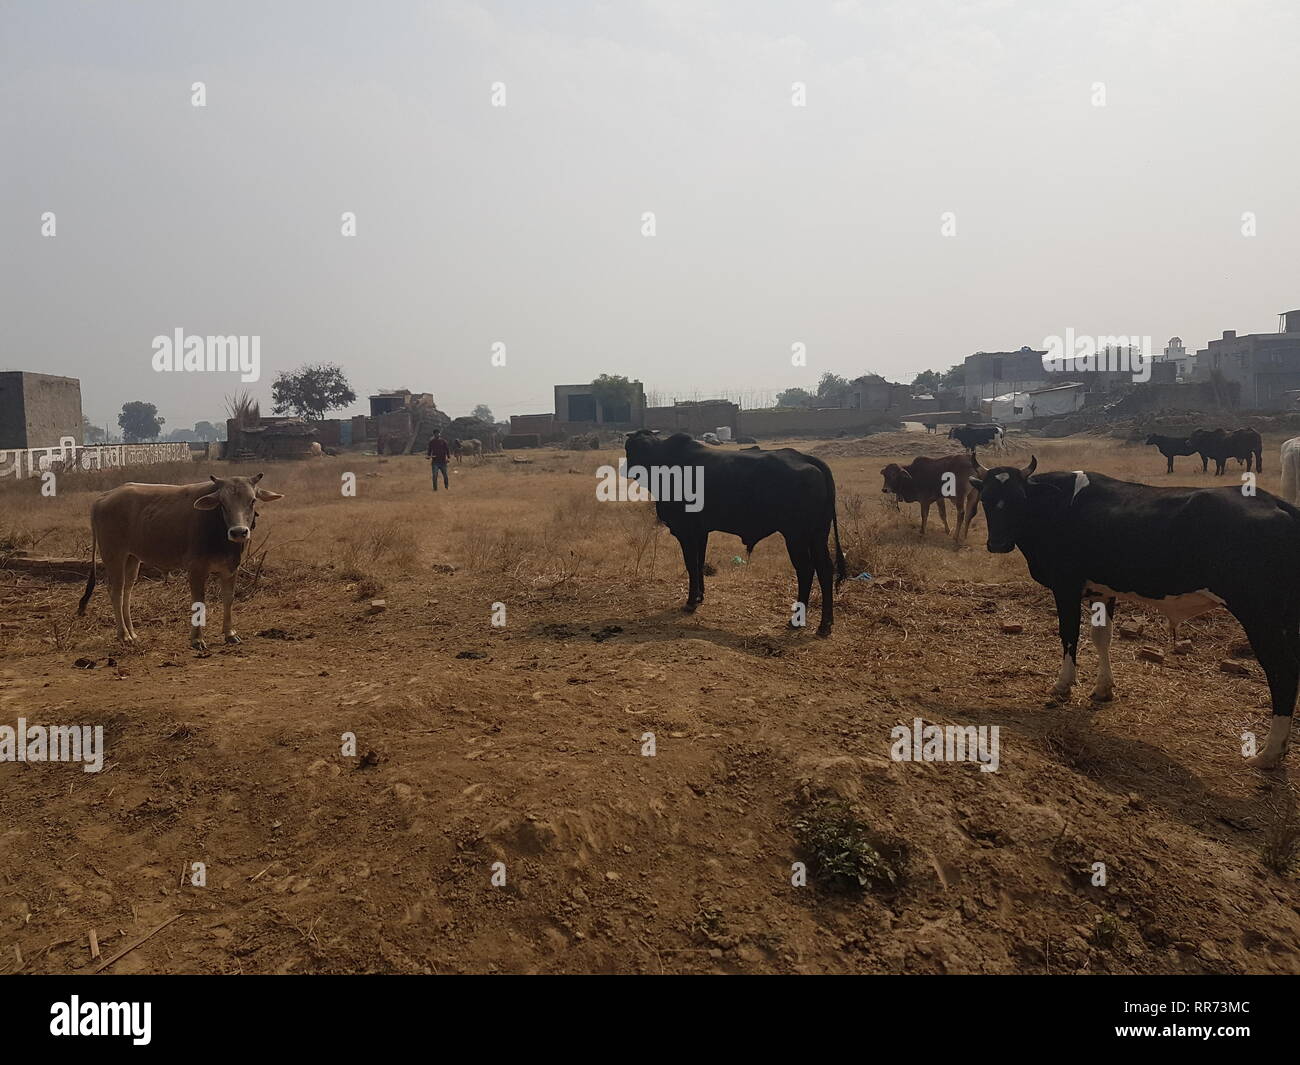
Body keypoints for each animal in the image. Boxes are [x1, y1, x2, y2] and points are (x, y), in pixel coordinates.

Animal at [77, 475, 283, 650]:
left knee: (127, 592)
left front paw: (230, 634)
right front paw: (197, 639)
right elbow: (199, 601)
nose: (239, 532)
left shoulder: (230, 568)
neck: (219, 531)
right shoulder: (196, 568)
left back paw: (132, 633)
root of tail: (103, 498)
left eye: (252, 500)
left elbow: (228, 599)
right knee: (116, 592)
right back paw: (123, 635)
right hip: (114, 556)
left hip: (132, 558)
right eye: (222, 503)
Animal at [624, 431, 847, 637]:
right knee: (824, 569)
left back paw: (799, 620)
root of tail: (803, 457)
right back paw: (825, 624)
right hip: (817, 535)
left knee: (806, 570)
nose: (625, 467)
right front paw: (699, 596)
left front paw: (690, 602)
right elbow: (699, 563)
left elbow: (691, 565)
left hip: (796, 536)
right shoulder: (701, 532)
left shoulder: (686, 532)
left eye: (630, 449)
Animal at [972, 455, 1300, 769]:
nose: (998, 543)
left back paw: (1269, 753)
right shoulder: (1102, 591)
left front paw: (1063, 685)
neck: (1056, 505)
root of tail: (1276, 503)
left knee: (1282, 672)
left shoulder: (1066, 585)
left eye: (1018, 498)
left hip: (1260, 615)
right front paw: (1103, 689)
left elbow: (1069, 635)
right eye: (985, 498)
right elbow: (1101, 637)